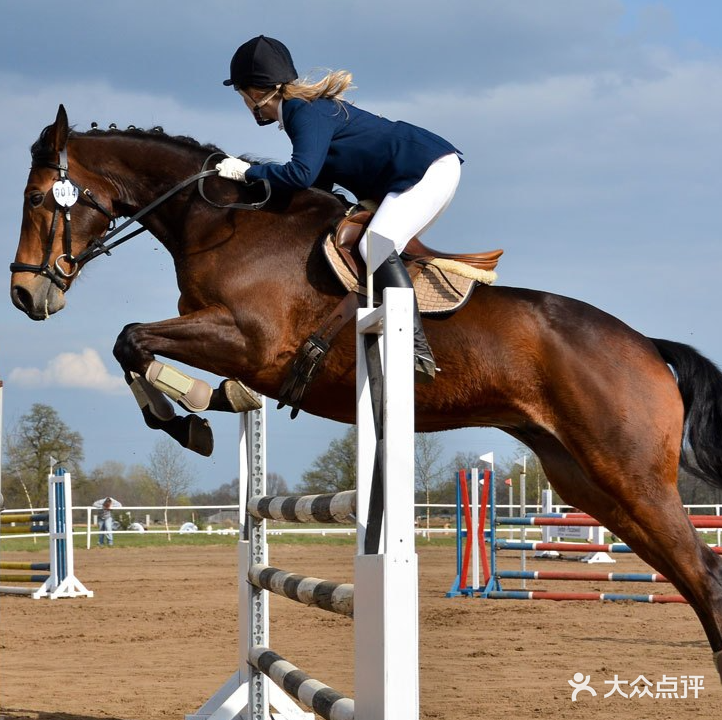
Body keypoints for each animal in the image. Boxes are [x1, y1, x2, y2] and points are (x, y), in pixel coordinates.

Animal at [11, 104, 722, 676]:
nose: (24, 295)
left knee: (703, 573)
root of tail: (646, 345)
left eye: (40, 199)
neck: (224, 227)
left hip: (630, 475)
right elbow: (132, 345)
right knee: (689, 572)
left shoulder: (250, 342)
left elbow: (132, 339)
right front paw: (207, 410)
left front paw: (190, 419)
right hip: (587, 483)